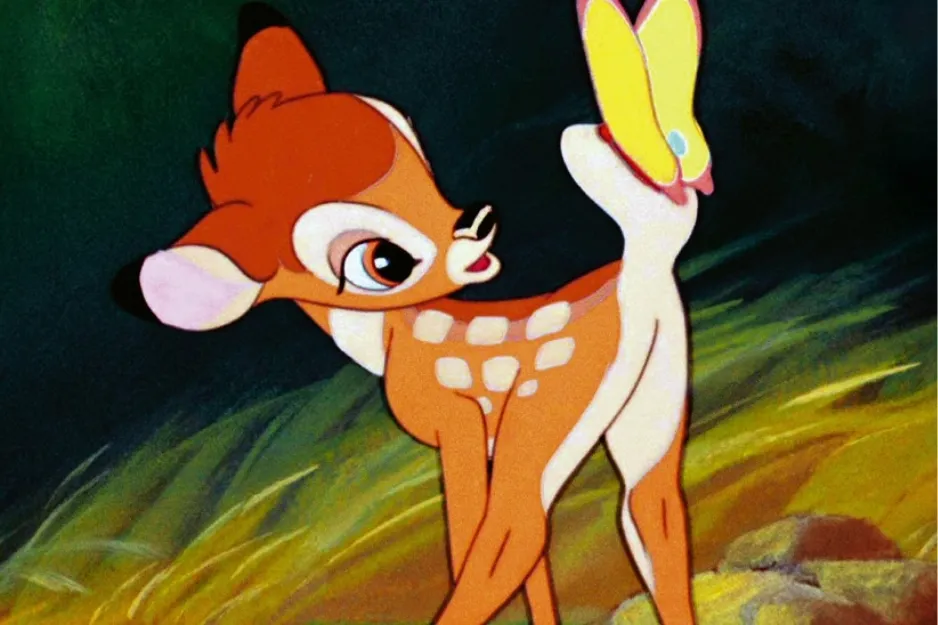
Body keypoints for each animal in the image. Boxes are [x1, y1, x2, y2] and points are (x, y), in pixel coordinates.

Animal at [117, 0, 713, 623]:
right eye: (385, 261)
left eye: (421, 163)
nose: (477, 220)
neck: (386, 340)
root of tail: (645, 267)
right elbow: (534, 572)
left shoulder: (455, 422)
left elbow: (469, 543)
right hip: (656, 403)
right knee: (653, 515)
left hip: (548, 407)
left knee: (519, 531)